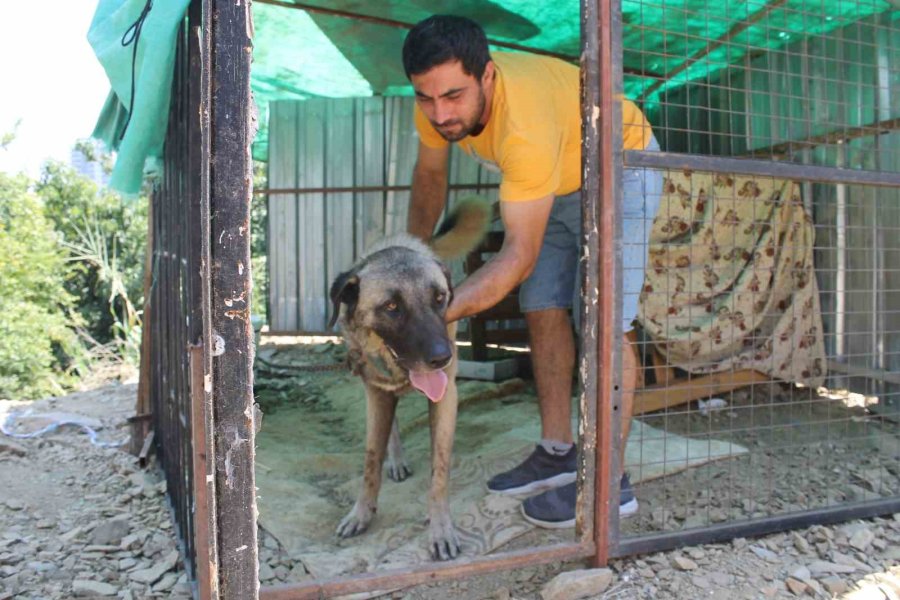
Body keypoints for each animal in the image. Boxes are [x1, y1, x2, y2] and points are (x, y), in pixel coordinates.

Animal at [326, 199, 488, 560]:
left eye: (440, 298)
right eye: (391, 306)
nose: (443, 357)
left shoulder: (446, 397)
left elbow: (439, 472)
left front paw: (441, 529)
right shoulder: (375, 391)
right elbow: (371, 460)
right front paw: (362, 513)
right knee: (392, 427)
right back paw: (396, 459)